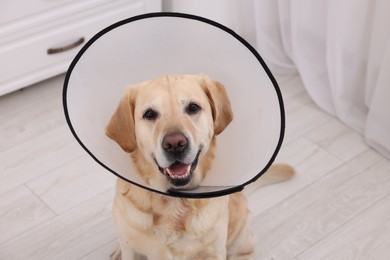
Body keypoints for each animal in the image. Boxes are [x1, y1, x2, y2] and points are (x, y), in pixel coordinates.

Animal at [105, 74, 294, 258]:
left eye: (193, 107)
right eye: (150, 114)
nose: (175, 144)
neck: (173, 202)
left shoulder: (215, 251)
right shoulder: (131, 247)